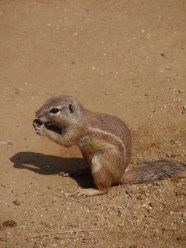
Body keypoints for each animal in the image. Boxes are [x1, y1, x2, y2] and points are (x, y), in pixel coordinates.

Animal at [33, 96, 185, 197]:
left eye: (55, 110)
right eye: (46, 100)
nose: (36, 114)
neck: (78, 118)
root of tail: (119, 176)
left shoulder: (77, 131)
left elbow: (65, 141)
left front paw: (43, 129)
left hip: (100, 160)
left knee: (105, 189)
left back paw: (88, 191)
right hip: (87, 155)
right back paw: (76, 171)